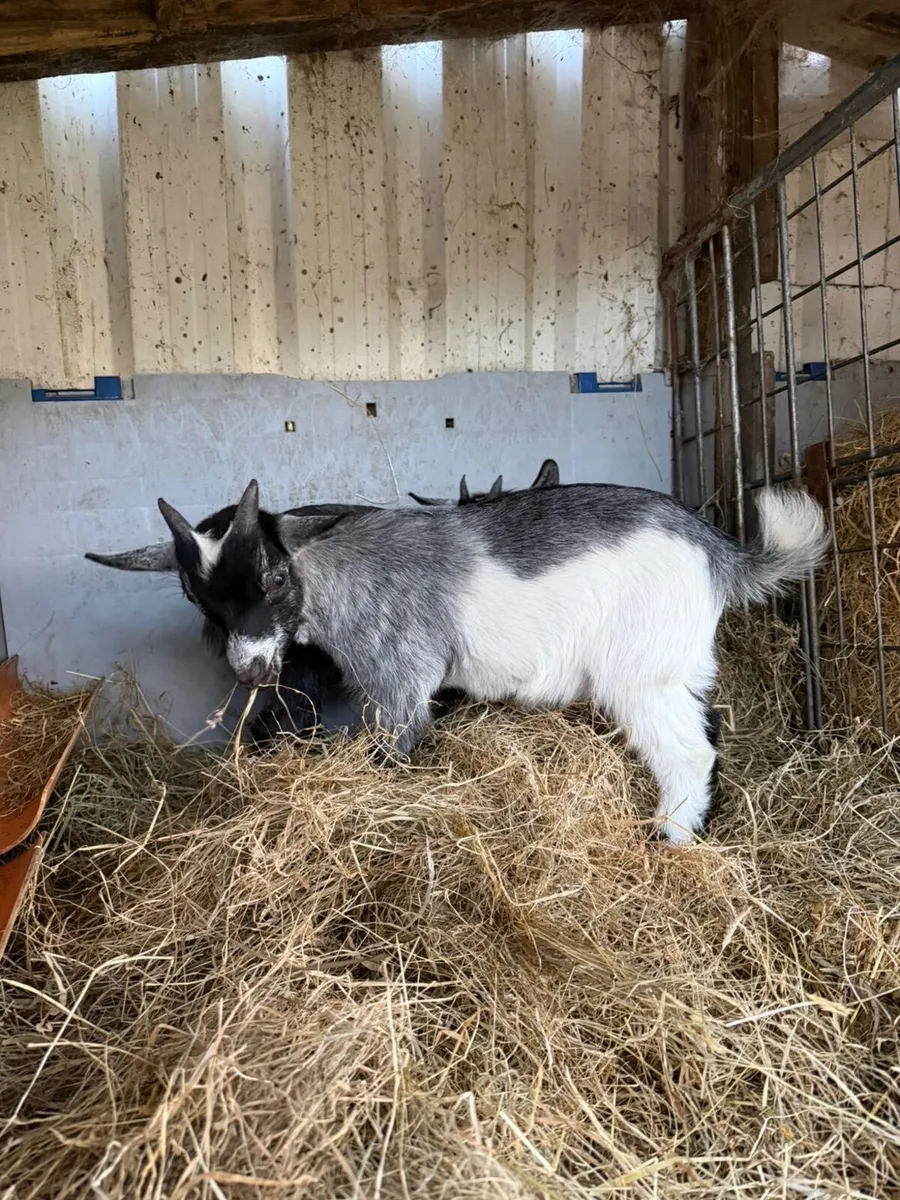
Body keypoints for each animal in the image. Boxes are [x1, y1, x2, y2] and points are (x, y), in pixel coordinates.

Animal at [132, 477, 827, 843]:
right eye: (196, 596)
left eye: (274, 578)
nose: (250, 671)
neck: (331, 570)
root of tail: (720, 551)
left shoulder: (400, 679)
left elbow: (395, 752)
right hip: (677, 668)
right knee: (709, 728)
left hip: (642, 675)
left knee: (686, 753)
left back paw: (669, 838)